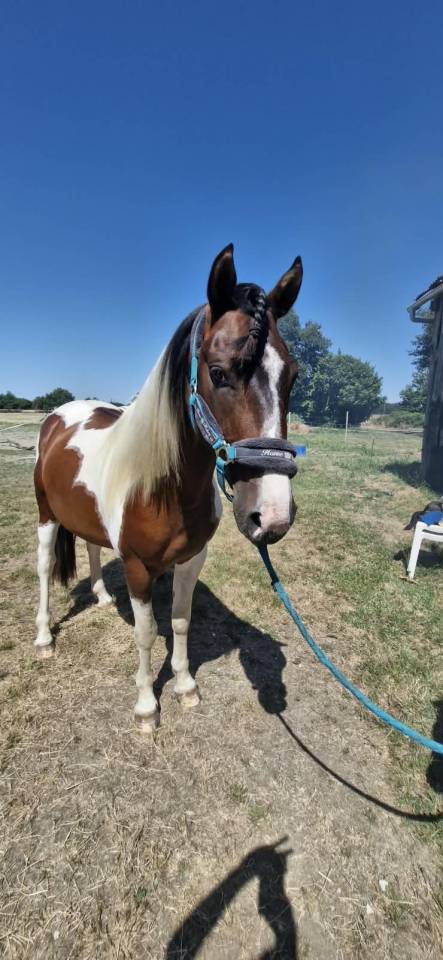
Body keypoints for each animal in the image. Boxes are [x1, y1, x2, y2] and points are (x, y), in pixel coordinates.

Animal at [34, 244, 303, 731]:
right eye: (218, 372)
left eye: (290, 377)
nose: (271, 516)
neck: (164, 488)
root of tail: (58, 417)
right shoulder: (139, 568)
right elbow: (146, 633)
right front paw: (146, 705)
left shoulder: (192, 559)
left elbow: (180, 621)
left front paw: (185, 686)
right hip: (45, 515)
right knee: (45, 568)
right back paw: (44, 637)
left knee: (93, 547)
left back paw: (102, 597)